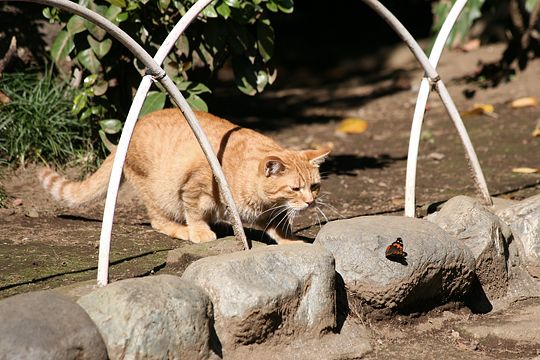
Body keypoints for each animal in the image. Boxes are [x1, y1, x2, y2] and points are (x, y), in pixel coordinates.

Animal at [39, 109, 330, 245]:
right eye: (295, 189)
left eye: (314, 186)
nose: (310, 202)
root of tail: (128, 131)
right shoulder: (194, 187)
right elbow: (195, 212)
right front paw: (199, 231)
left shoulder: (268, 211)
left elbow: (278, 226)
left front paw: (290, 240)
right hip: (158, 193)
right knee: (158, 221)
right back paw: (184, 230)